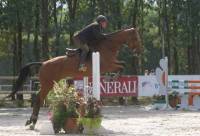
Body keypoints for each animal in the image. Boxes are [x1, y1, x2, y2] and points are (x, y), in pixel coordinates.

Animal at [6, 27, 142, 129]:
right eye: (135, 38)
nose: (139, 52)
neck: (108, 46)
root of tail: (43, 63)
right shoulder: (108, 65)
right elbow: (122, 66)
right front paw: (112, 78)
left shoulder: (112, 63)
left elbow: (122, 64)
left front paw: (111, 78)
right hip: (48, 84)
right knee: (39, 98)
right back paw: (32, 122)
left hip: (50, 83)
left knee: (38, 98)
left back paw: (31, 121)